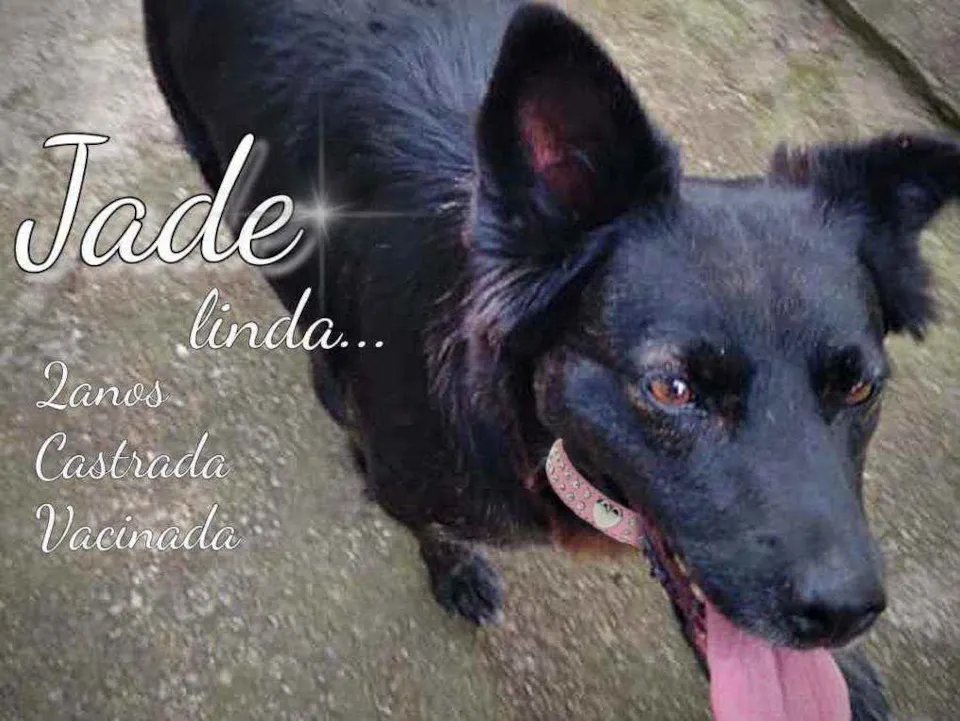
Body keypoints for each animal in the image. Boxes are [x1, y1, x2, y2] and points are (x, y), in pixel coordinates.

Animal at [144, 1, 959, 717]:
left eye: (858, 389)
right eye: (671, 388)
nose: (846, 614)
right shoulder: (411, 481)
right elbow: (427, 523)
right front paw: (455, 570)